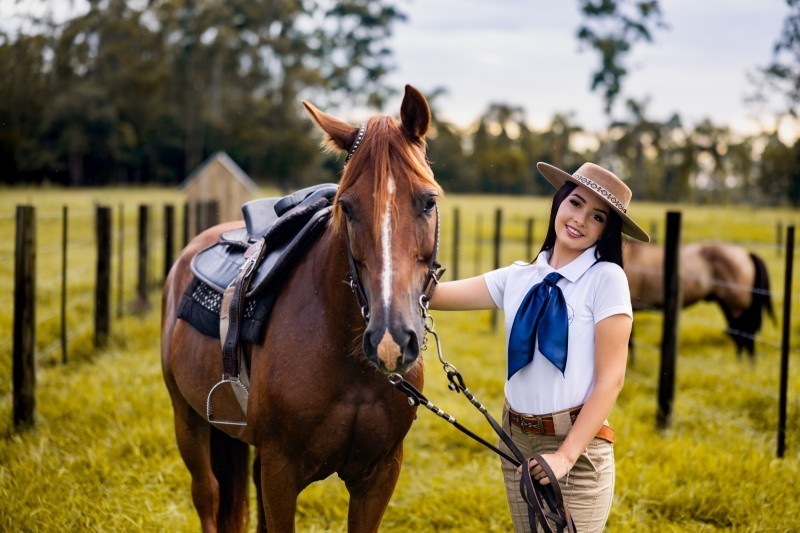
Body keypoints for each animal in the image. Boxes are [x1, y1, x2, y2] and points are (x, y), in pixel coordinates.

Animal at [161, 85, 443, 532]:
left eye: (428, 201)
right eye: (347, 206)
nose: (390, 340)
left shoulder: (380, 474)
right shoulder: (281, 472)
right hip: (187, 419)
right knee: (207, 495)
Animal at [623, 239, 774, 357]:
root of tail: (746, 253)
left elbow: (629, 341)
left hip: (735, 305)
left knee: (745, 331)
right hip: (728, 305)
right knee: (738, 331)